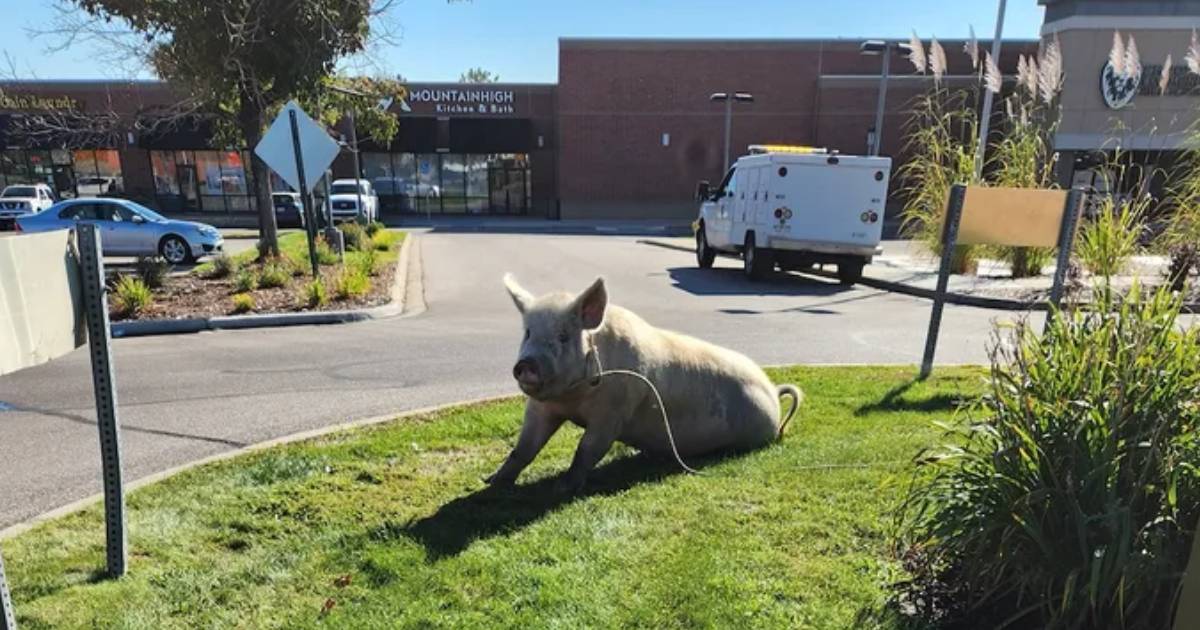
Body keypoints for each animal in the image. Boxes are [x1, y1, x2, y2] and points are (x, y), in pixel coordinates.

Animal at [487, 272, 806, 494]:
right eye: (528, 333)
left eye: (564, 336)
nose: (526, 364)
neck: (572, 399)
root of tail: (773, 390)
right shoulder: (541, 408)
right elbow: (523, 448)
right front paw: (490, 481)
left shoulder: (613, 413)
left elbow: (586, 449)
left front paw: (562, 488)